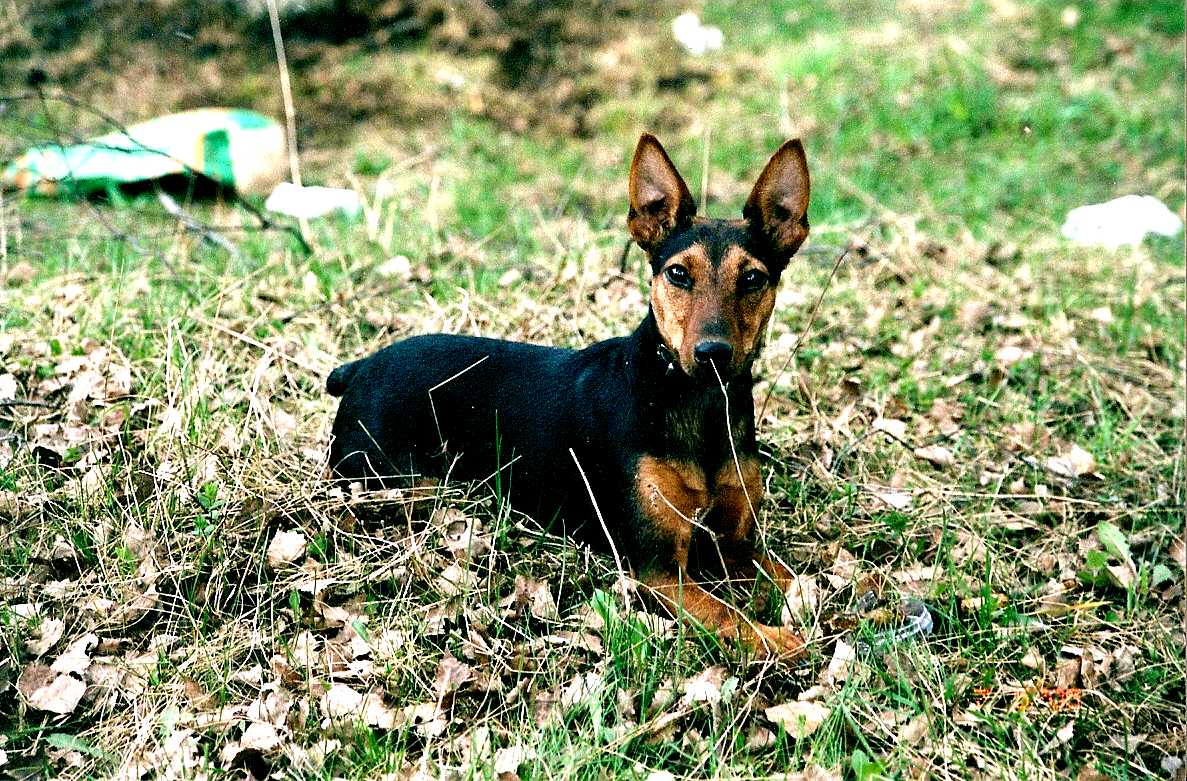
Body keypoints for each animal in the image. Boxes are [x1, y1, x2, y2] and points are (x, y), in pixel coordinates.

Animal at [332, 134, 816, 655]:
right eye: (678, 274)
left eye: (752, 278)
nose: (712, 353)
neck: (695, 404)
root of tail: (361, 367)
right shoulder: (659, 569)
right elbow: (729, 614)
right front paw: (779, 639)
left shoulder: (738, 545)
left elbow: (795, 577)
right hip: (402, 484)